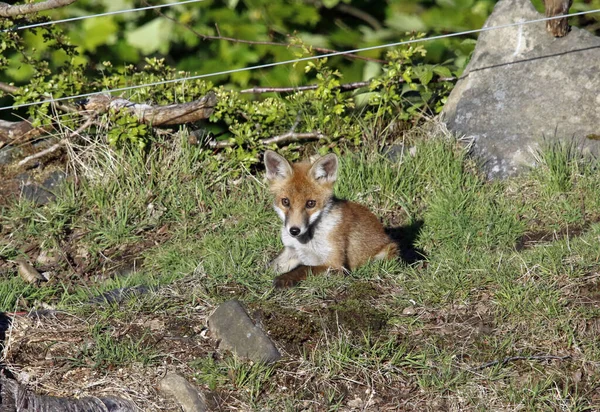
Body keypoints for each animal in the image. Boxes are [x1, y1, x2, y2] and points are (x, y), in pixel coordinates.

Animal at [264, 150, 398, 288]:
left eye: (311, 203)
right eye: (285, 202)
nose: (294, 231)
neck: (307, 242)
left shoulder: (336, 265)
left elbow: (304, 268)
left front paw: (284, 278)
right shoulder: (292, 250)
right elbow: (270, 266)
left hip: (385, 253)